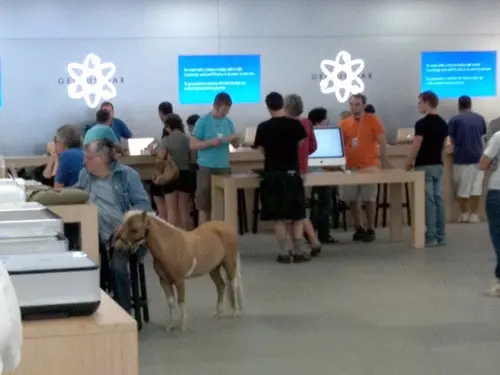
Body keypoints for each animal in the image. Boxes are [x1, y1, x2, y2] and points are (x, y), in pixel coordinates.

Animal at [115, 212, 244, 332]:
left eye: (134, 230)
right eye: (124, 226)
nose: (118, 247)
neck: (169, 247)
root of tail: (227, 226)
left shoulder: (179, 280)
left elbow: (181, 301)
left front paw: (183, 325)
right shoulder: (164, 281)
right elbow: (171, 302)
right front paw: (171, 326)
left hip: (230, 265)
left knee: (234, 285)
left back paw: (235, 312)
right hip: (214, 269)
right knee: (221, 286)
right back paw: (218, 313)